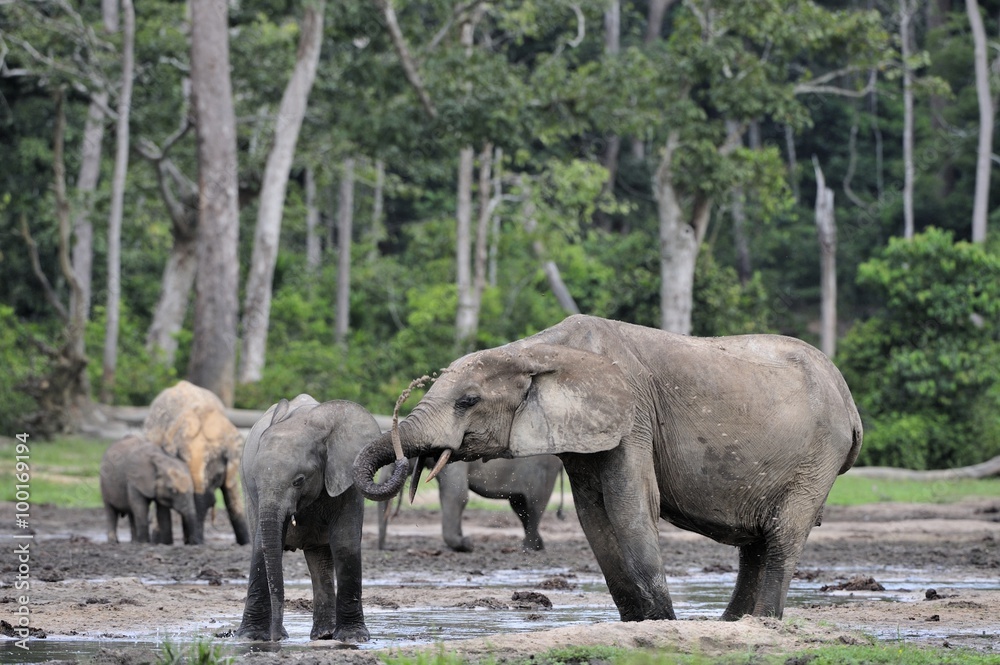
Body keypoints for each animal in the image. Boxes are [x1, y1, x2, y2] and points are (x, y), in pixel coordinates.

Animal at [235, 395, 379, 643]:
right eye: (255, 479)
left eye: (299, 481)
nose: (276, 637)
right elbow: (262, 546)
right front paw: (251, 638)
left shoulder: (346, 476)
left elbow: (345, 543)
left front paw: (353, 638)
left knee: (320, 560)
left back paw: (324, 635)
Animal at [378, 455, 563, 552]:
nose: (385, 548)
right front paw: (464, 542)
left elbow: (456, 495)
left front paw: (467, 544)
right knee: (520, 507)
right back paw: (538, 545)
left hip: (544, 472)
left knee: (533, 507)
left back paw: (528, 548)